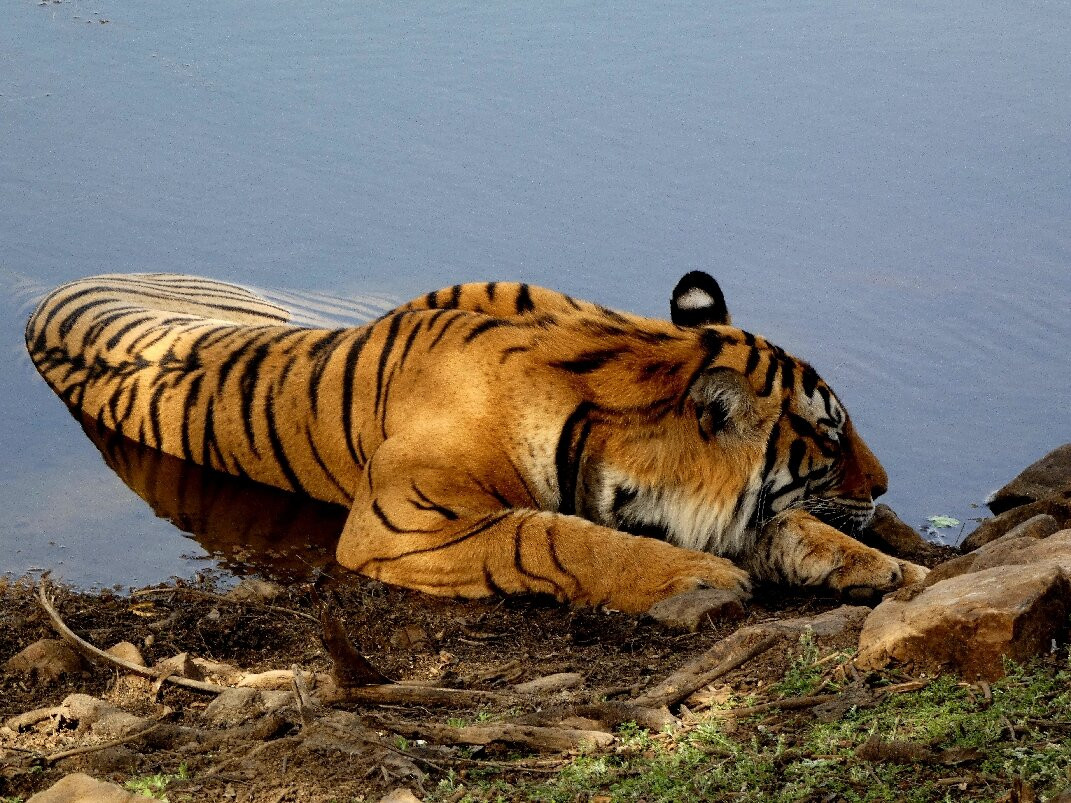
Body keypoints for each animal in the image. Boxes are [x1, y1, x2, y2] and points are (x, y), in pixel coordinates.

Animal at [25, 271, 927, 613]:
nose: (885, 485)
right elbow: (554, 536)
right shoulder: (400, 523)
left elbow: (789, 525)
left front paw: (899, 570)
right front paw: (698, 575)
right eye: (829, 434)